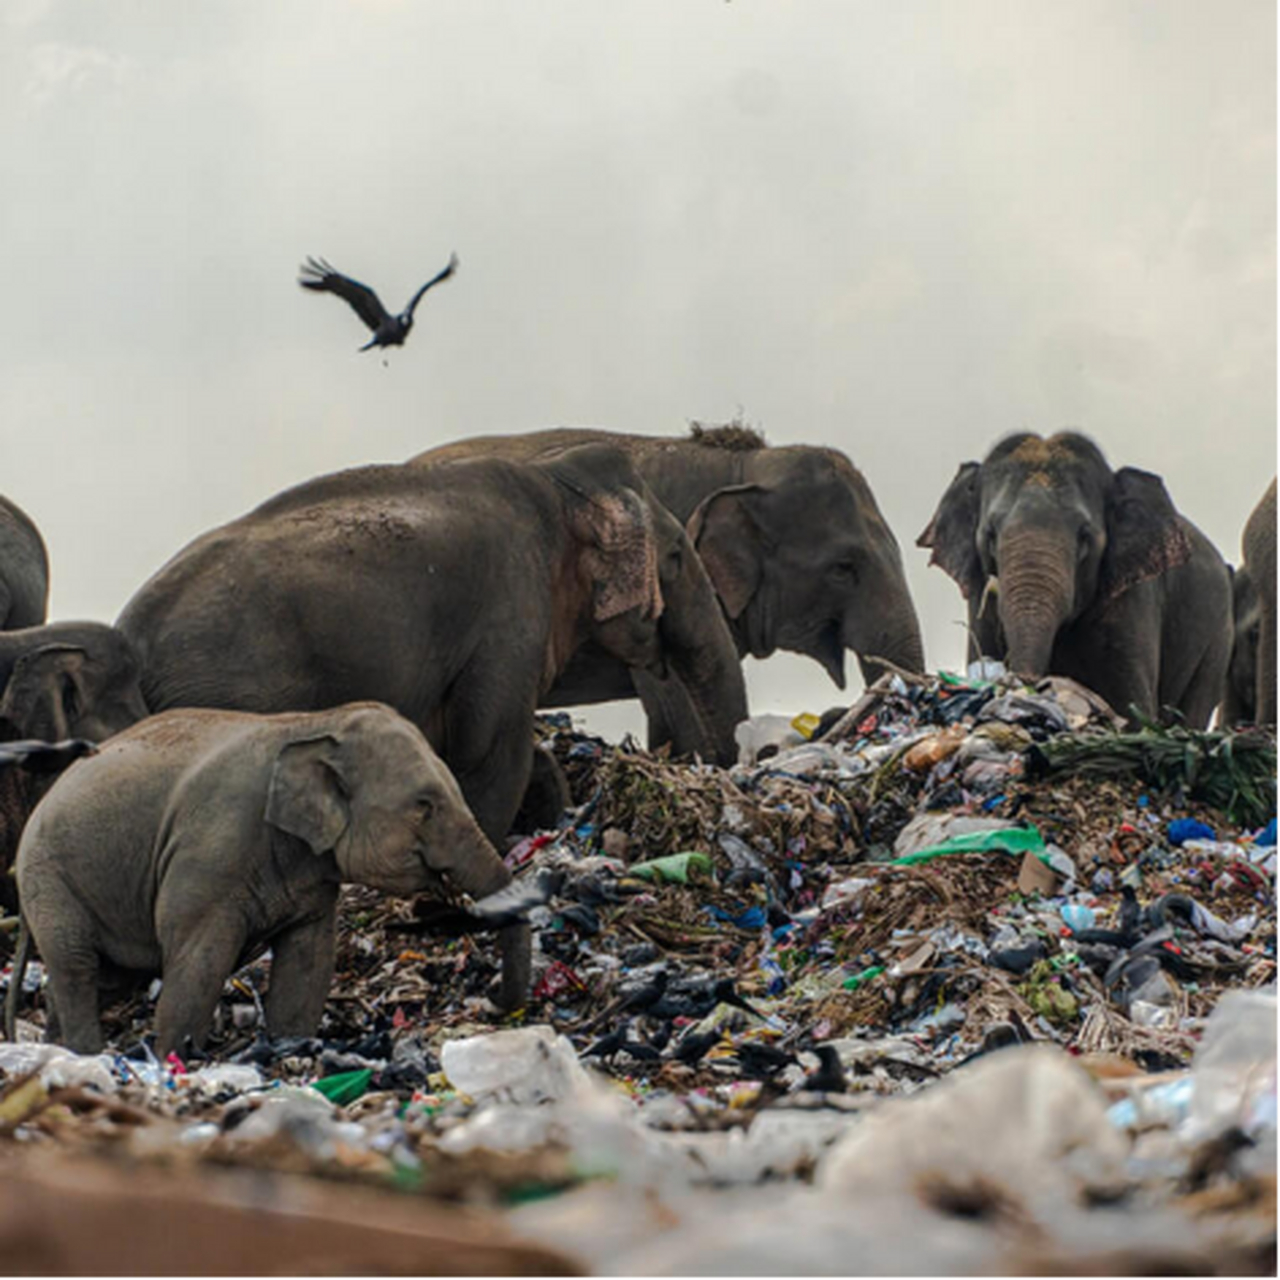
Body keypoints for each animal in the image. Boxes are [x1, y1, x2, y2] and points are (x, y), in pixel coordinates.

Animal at [15, 706, 524, 1054]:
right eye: (424, 805)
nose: (495, 1001)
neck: (313, 723)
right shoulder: (209, 853)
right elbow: (198, 964)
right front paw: (175, 1057)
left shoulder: (311, 875)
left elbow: (308, 961)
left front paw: (288, 1046)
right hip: (49, 878)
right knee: (77, 967)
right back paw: (86, 1055)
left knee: (108, 977)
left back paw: (56, 1049)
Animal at [120, 442, 742, 849]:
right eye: (677, 557)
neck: (550, 480)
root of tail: (133, 639)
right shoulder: (509, 610)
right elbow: (488, 749)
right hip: (232, 689)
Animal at [921, 432, 1228, 727]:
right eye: (990, 535)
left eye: (1084, 537)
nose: (1029, 685)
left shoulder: (1132, 599)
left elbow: (1132, 707)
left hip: (1216, 643)